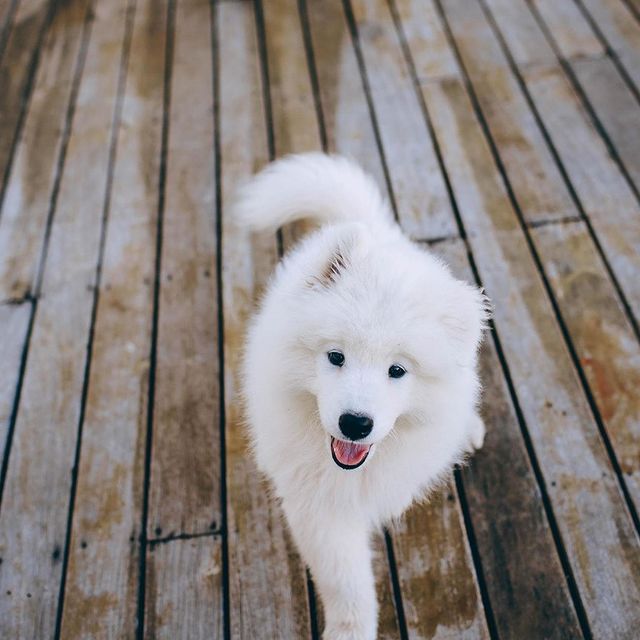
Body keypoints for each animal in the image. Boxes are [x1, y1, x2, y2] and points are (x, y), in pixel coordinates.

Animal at [236, 152, 490, 636]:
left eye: (398, 371)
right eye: (336, 356)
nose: (355, 423)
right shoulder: (317, 505)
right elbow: (344, 580)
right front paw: (350, 629)